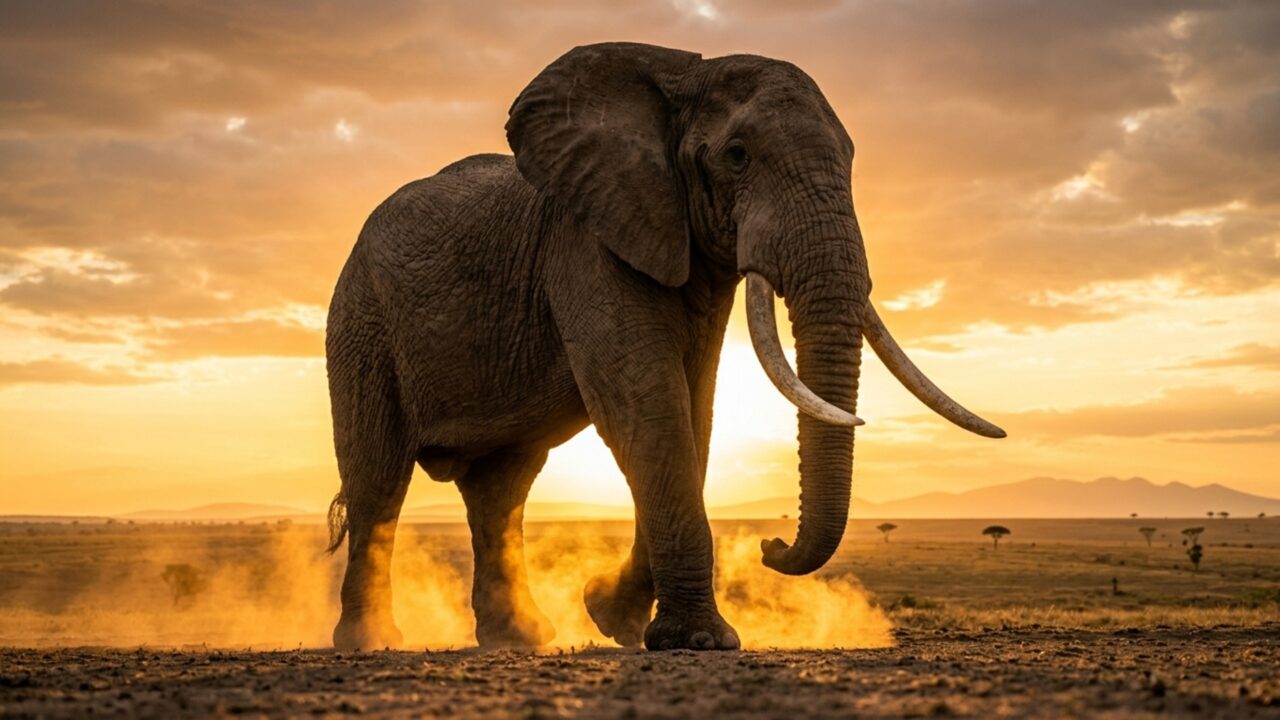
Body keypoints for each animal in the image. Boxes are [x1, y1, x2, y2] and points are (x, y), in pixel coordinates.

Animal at [323, 42, 1004, 652]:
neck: (679, 79)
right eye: (737, 156)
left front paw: (611, 615)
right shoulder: (586, 240)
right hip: (361, 321)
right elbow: (646, 406)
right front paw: (697, 641)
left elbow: (694, 412)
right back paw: (371, 642)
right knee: (379, 477)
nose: (770, 545)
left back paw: (519, 640)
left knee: (502, 489)